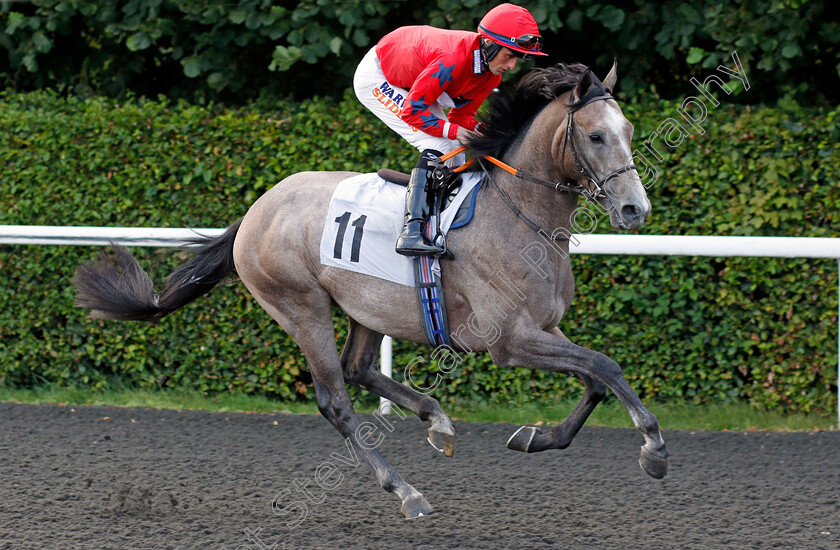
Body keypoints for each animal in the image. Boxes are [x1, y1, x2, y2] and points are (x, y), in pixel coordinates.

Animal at [77, 63, 668, 520]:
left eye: (629, 129)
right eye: (596, 136)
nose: (635, 209)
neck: (520, 215)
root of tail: (256, 210)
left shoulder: (545, 328)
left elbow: (595, 378)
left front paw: (535, 437)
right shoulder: (509, 341)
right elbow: (607, 366)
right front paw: (654, 448)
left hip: (367, 306)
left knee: (359, 368)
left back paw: (438, 422)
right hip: (301, 307)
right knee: (335, 399)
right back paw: (407, 492)